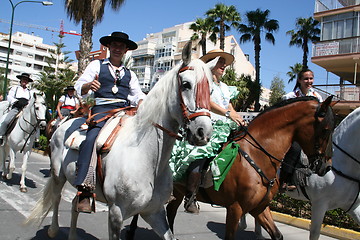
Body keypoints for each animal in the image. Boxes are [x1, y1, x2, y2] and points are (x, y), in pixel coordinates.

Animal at [26, 42, 215, 240]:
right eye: (186, 84)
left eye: (211, 90)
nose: (203, 132)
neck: (147, 158)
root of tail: (65, 123)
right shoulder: (116, 213)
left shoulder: (154, 213)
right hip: (58, 174)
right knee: (56, 198)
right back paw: (53, 229)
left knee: (74, 205)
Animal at [126, 95, 334, 240]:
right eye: (326, 130)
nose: (325, 167)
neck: (257, 154)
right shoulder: (235, 209)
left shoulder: (260, 208)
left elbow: (277, 235)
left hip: (177, 191)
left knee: (171, 211)